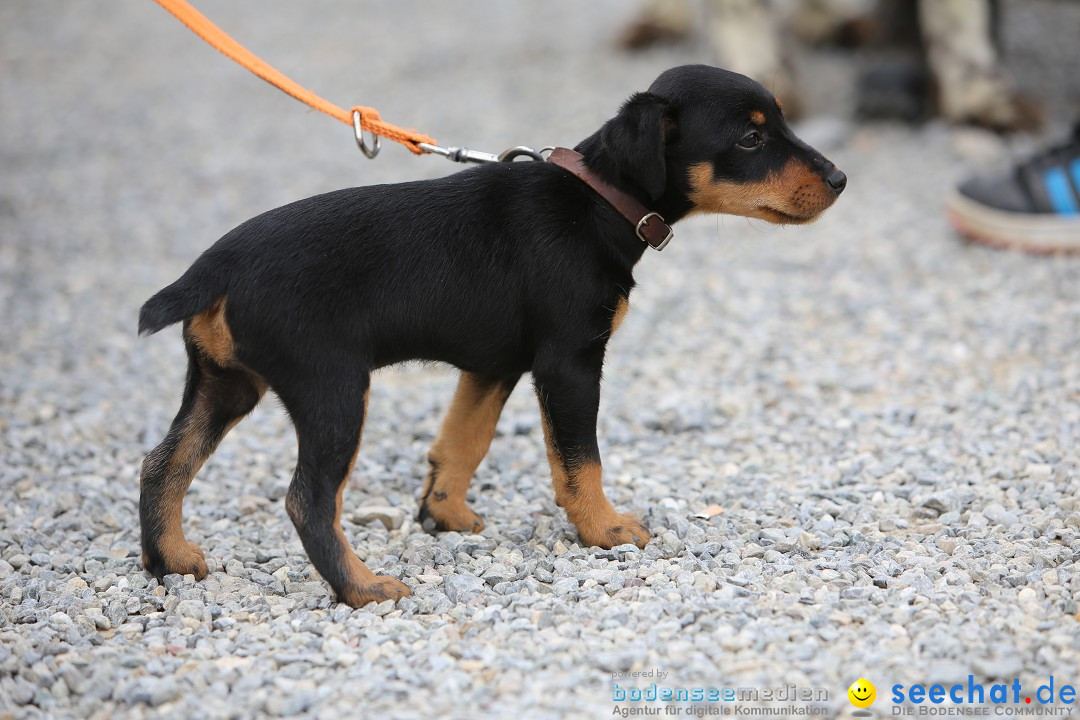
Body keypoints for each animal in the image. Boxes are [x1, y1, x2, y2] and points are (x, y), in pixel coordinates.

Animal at [137, 66, 842, 608]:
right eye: (751, 137)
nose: (839, 179)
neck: (596, 203)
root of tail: (217, 266)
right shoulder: (569, 364)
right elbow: (579, 461)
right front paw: (605, 530)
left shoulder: (492, 366)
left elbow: (462, 443)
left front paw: (443, 516)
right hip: (332, 389)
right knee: (308, 501)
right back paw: (363, 589)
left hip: (226, 384)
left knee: (162, 463)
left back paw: (168, 560)